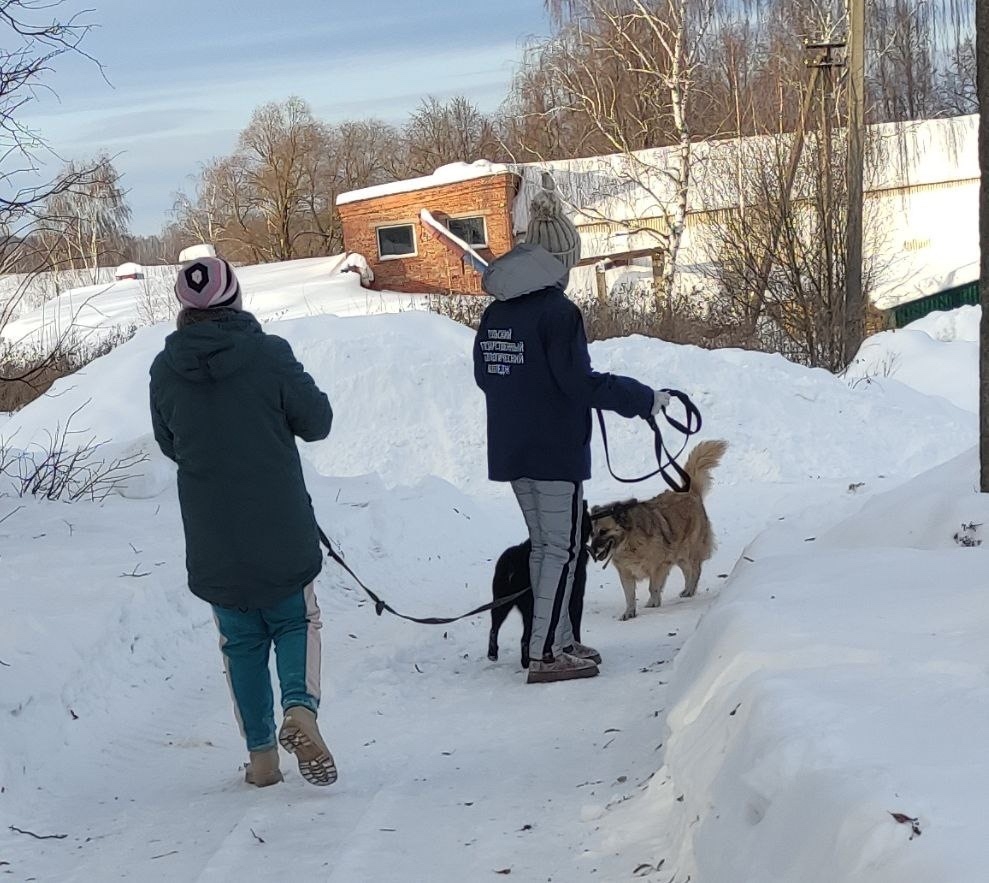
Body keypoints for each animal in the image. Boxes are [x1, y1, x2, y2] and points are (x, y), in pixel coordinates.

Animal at [487, 504, 592, 668]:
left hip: (501, 601)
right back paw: (527, 662)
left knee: (494, 628)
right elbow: (575, 627)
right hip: (530, 607)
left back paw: (494, 654)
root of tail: (513, 562)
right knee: (525, 639)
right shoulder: (575, 598)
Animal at [589, 440, 728, 620]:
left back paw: (690, 590)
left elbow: (653, 587)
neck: (629, 541)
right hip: (679, 553)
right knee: (687, 571)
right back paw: (686, 590)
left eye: (603, 531)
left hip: (690, 549)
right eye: (592, 533)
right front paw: (629, 612)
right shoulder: (626, 572)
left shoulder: (660, 565)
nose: (592, 550)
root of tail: (690, 493)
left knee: (695, 570)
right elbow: (629, 595)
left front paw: (653, 603)